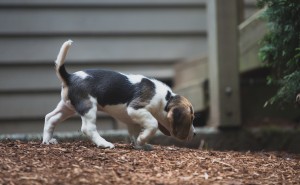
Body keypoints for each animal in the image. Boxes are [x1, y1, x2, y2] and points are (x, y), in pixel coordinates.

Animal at [42, 40, 197, 149]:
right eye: (191, 118)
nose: (195, 134)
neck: (166, 99)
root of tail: (69, 77)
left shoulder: (132, 119)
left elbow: (135, 133)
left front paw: (140, 144)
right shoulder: (136, 109)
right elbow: (152, 124)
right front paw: (142, 139)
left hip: (67, 107)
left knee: (50, 118)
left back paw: (47, 141)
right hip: (88, 106)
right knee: (88, 128)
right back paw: (104, 143)